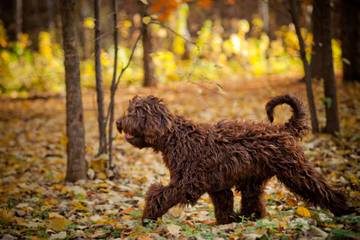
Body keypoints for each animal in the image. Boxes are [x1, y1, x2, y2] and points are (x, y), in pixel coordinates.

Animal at [116, 94, 350, 224]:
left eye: (135, 112)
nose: (118, 122)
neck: (176, 137)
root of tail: (283, 129)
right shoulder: (218, 187)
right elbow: (224, 207)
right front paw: (228, 223)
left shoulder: (187, 183)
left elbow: (158, 195)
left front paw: (148, 217)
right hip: (253, 180)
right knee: (254, 202)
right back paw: (250, 219)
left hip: (296, 172)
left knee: (322, 189)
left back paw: (343, 210)